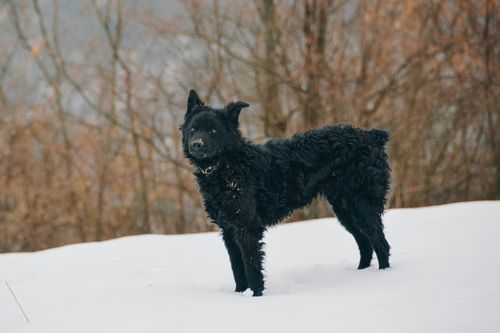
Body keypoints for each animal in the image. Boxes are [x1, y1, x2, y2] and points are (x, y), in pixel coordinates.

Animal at [182, 89, 392, 296]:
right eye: (193, 129)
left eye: (213, 130)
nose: (197, 144)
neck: (228, 167)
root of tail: (371, 136)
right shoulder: (228, 230)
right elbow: (237, 269)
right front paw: (239, 294)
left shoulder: (246, 228)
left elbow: (251, 268)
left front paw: (256, 297)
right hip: (345, 210)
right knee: (365, 245)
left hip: (363, 207)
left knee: (381, 244)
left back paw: (383, 276)